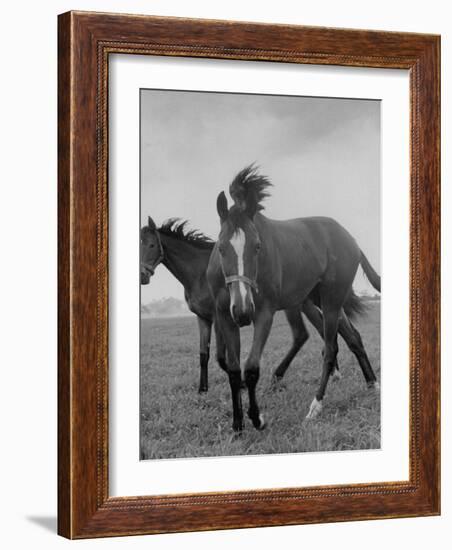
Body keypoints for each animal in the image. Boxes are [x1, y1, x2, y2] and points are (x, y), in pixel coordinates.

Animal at [208, 166, 382, 434]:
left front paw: (257, 419)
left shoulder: (264, 313)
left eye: (257, 246)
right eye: (221, 247)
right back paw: (372, 384)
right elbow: (235, 370)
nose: (244, 311)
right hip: (321, 300)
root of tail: (351, 240)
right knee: (353, 337)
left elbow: (251, 368)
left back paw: (315, 406)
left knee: (330, 348)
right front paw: (237, 425)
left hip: (331, 300)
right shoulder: (225, 315)